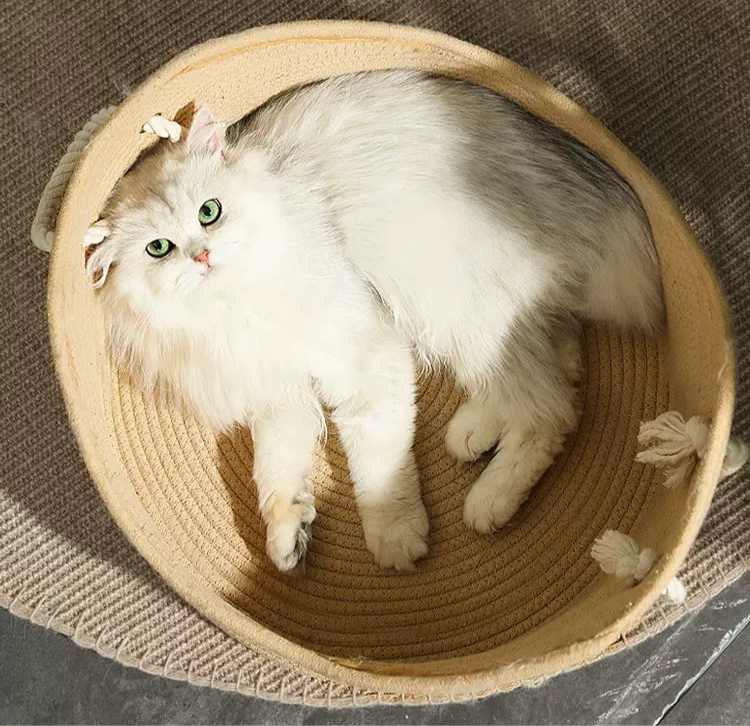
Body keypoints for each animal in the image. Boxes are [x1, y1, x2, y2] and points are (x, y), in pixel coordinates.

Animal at [85, 71, 668, 576]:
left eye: (210, 212)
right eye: (159, 248)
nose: (202, 257)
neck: (236, 306)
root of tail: (582, 175)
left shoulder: (364, 358)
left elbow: (380, 467)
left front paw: (396, 540)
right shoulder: (279, 394)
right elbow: (275, 473)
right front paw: (288, 539)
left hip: (460, 307)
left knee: (553, 412)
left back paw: (489, 500)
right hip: (490, 318)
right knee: (561, 364)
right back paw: (473, 432)